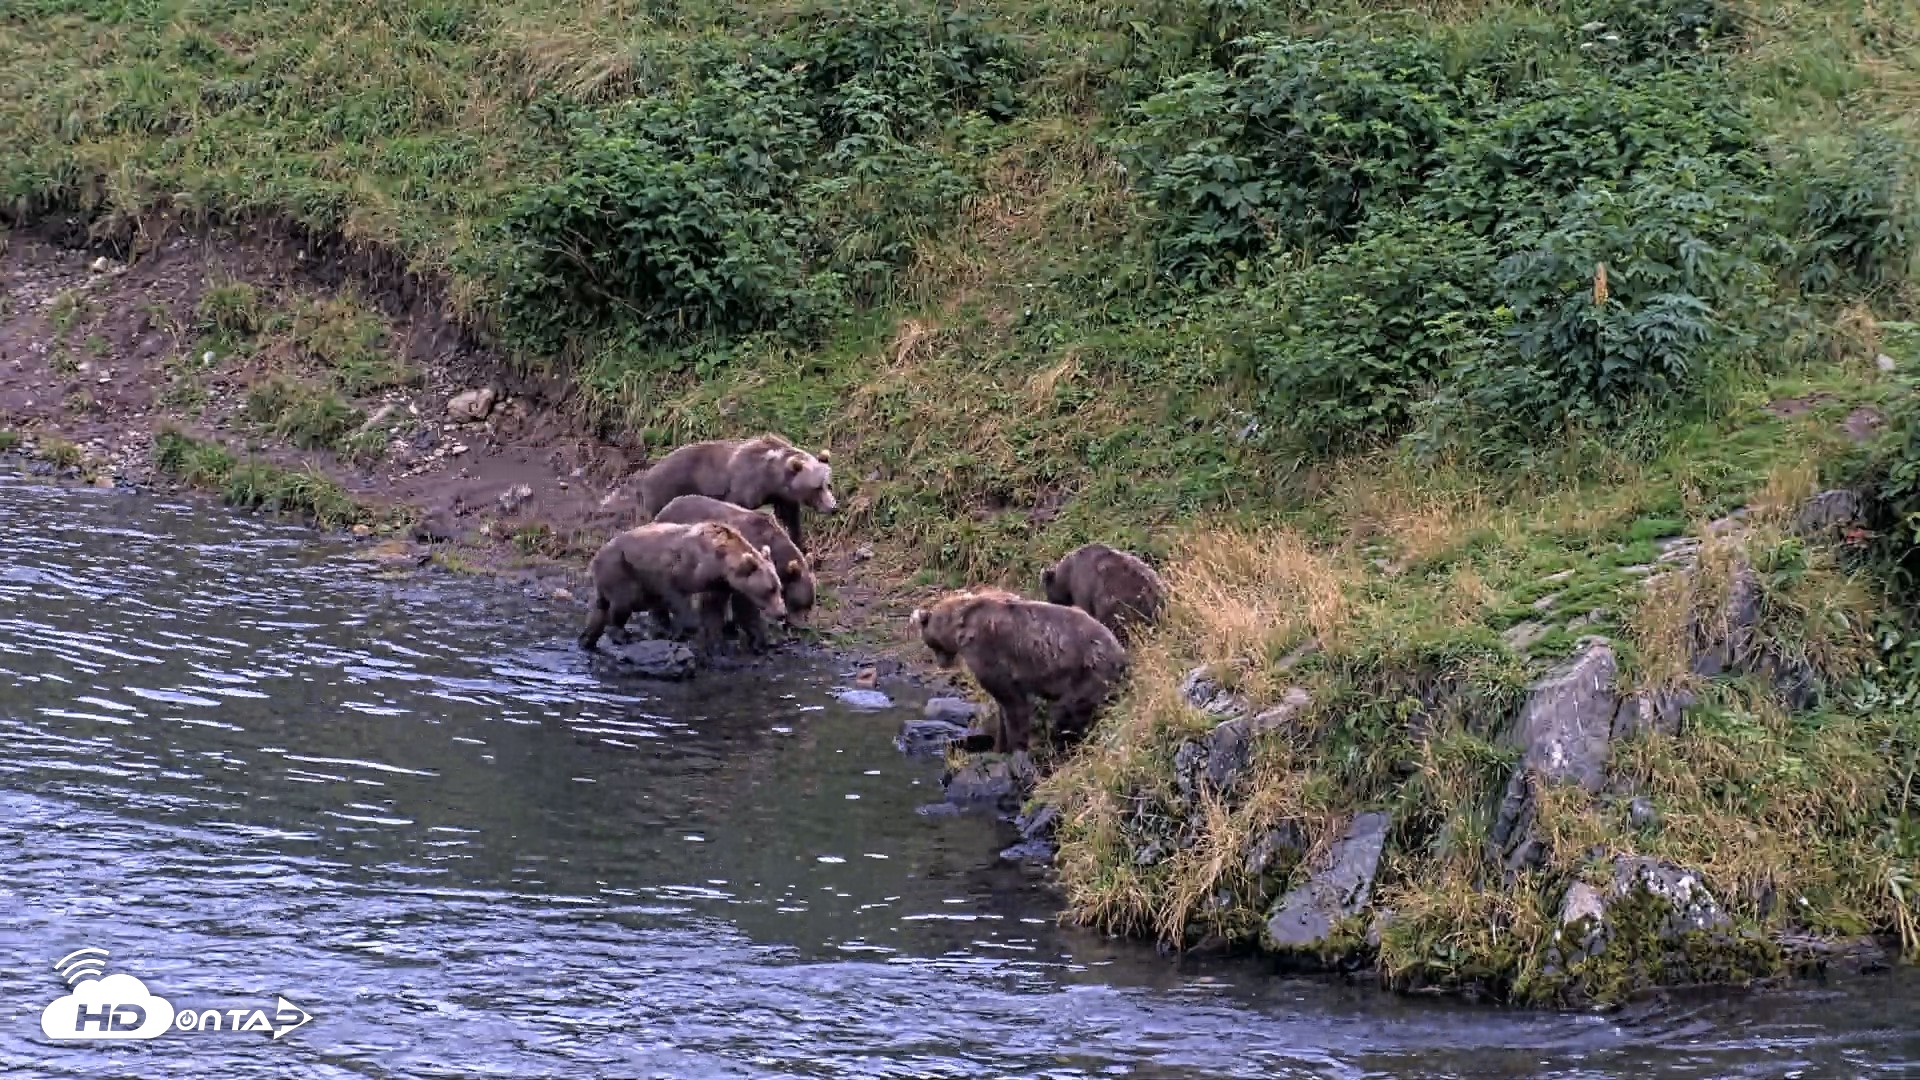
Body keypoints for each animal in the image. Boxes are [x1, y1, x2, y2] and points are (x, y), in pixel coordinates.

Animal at [578, 520, 787, 660]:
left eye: (779, 587)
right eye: (769, 589)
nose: (782, 613)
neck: (719, 562)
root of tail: (596, 556)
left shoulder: (719, 585)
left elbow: (715, 610)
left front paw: (718, 645)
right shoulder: (679, 570)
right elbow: (677, 597)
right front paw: (683, 631)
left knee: (599, 611)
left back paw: (587, 640)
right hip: (620, 568)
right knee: (623, 601)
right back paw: (623, 635)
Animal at [638, 433, 837, 552]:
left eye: (827, 484)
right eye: (816, 487)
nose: (833, 507)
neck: (771, 476)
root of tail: (649, 473)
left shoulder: (781, 495)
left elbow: (790, 517)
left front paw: (801, 545)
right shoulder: (744, 485)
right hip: (668, 490)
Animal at [649, 493, 816, 652]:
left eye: (809, 605)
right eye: (798, 604)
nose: (802, 627)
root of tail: (666, 507)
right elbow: (744, 605)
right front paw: (761, 640)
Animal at [908, 587, 1127, 754]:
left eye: (930, 642)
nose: (941, 663)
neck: (959, 628)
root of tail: (1119, 649)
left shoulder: (989, 653)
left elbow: (1013, 705)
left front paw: (1015, 747)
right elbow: (1002, 709)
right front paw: (998, 747)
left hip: (1087, 672)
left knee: (1070, 711)